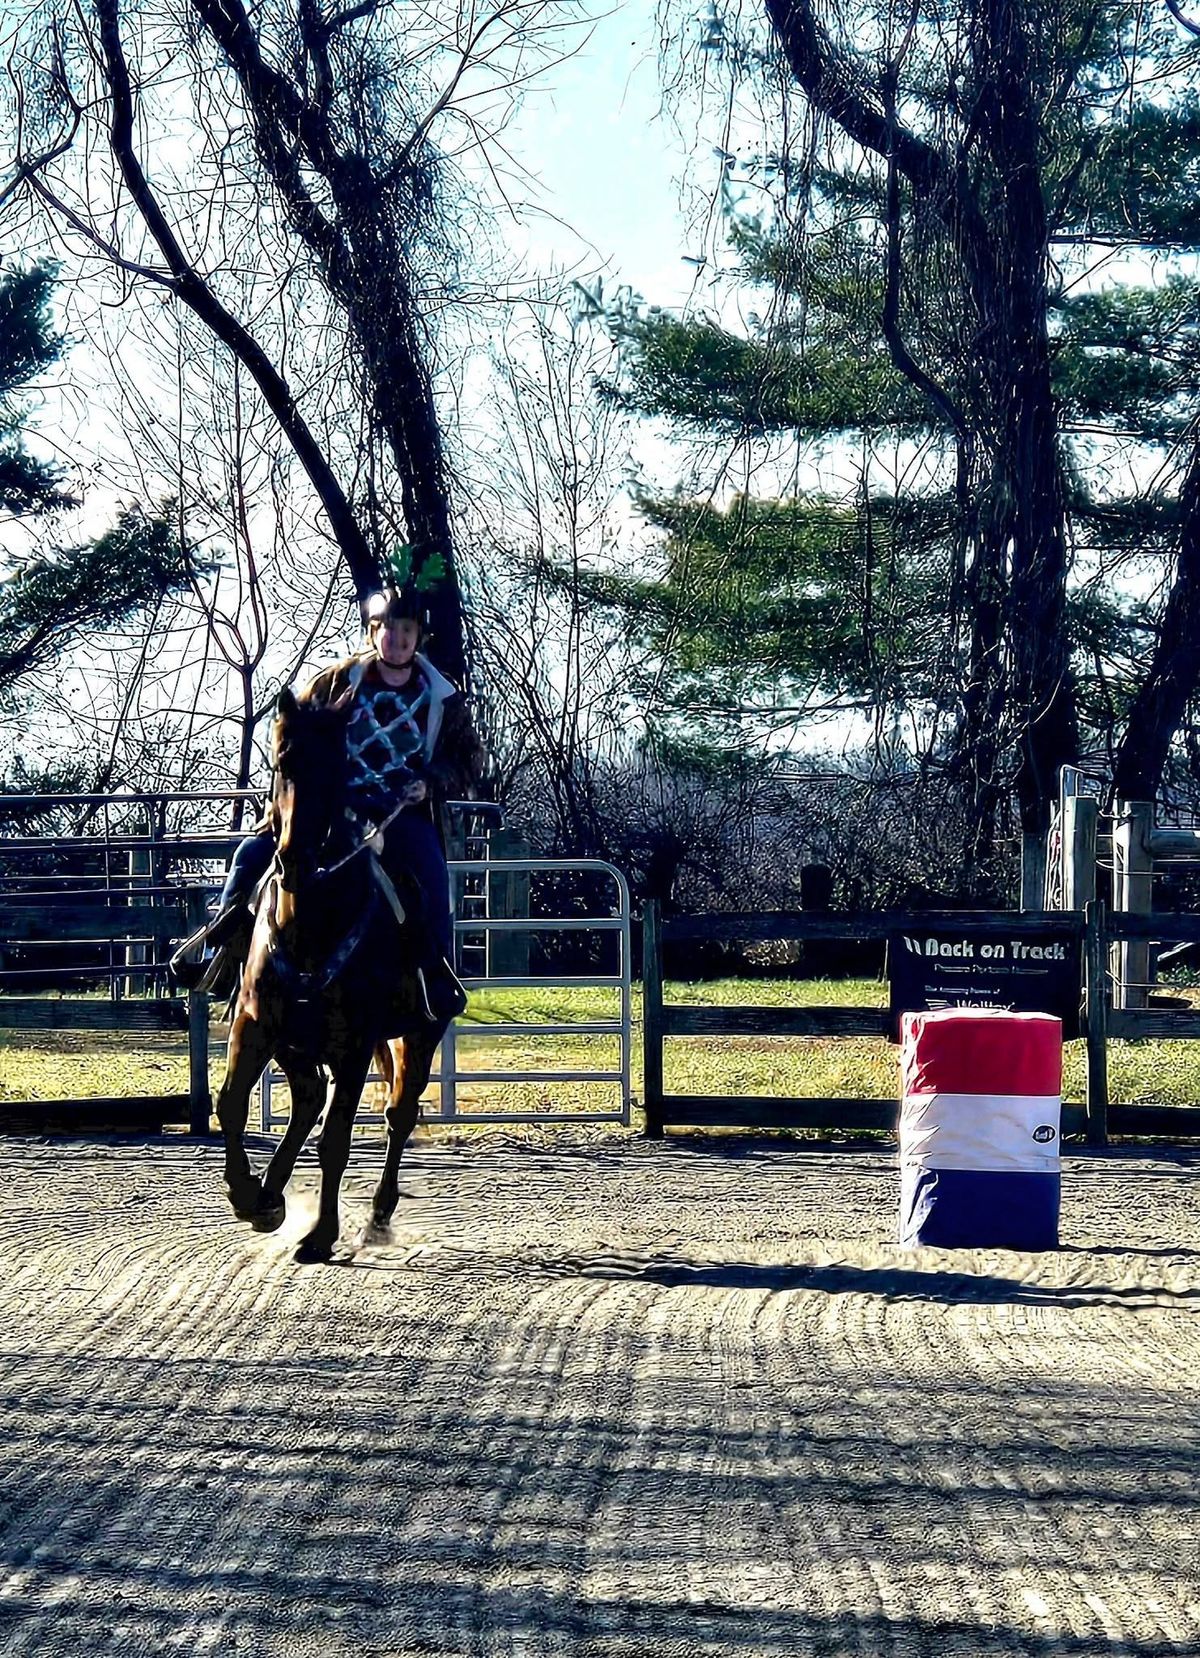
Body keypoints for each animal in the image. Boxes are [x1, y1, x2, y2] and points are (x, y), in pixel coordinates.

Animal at [215, 683, 450, 1253]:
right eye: (282, 761)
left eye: (337, 767)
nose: (296, 859)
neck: (310, 927)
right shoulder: (254, 1025)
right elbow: (231, 1103)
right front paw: (246, 1197)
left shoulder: (355, 1045)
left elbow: (337, 1138)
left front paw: (321, 1235)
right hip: (295, 1043)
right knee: (306, 1100)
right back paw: (270, 1197)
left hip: (417, 1035)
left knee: (397, 1114)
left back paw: (378, 1215)